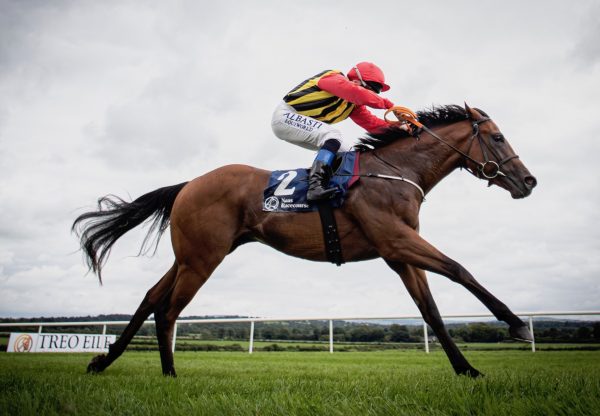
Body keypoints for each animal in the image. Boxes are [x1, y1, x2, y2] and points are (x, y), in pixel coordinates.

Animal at [74, 104, 540, 376]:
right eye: (498, 137)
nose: (528, 181)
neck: (394, 172)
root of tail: (189, 184)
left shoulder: (398, 254)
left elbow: (432, 312)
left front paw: (467, 369)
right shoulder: (396, 240)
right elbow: (460, 269)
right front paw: (516, 325)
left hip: (190, 256)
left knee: (152, 298)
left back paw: (104, 360)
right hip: (203, 258)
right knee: (169, 309)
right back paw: (169, 373)